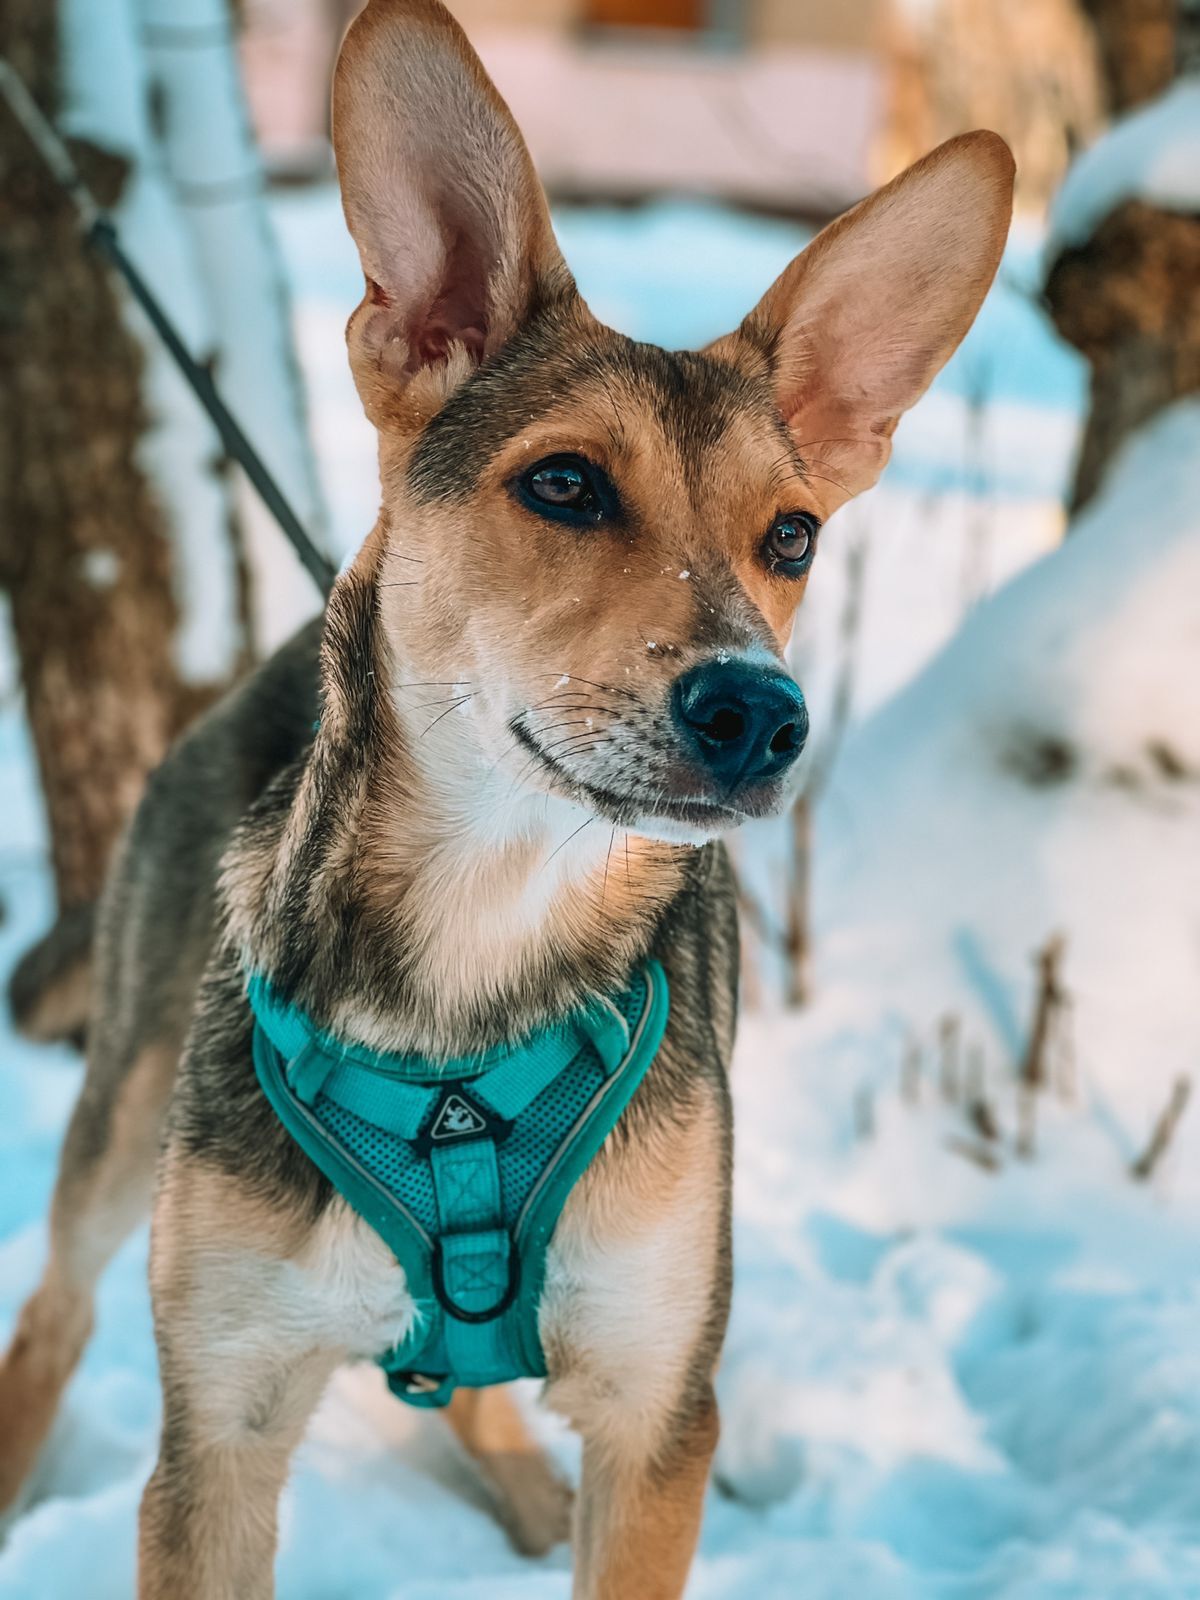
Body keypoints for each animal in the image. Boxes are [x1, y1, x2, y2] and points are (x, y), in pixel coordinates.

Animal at [0, 6, 1017, 1593]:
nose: (762, 715)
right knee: (51, 1316)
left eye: (791, 536)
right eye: (565, 485)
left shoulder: (662, 1407)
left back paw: (527, 1500)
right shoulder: (219, 1427)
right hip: (128, 1112)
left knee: (463, 1378)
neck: (482, 940)